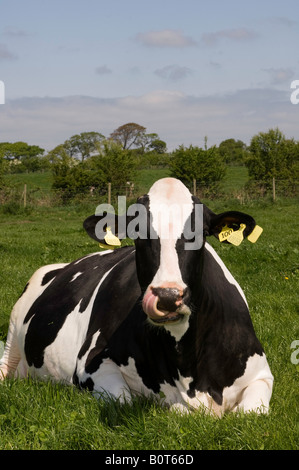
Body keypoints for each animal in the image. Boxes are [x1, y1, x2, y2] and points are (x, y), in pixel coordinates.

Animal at [0, 179, 274, 414]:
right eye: (138, 233)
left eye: (201, 233)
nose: (167, 296)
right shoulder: (91, 364)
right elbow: (132, 402)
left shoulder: (262, 374)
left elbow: (251, 412)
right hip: (14, 327)